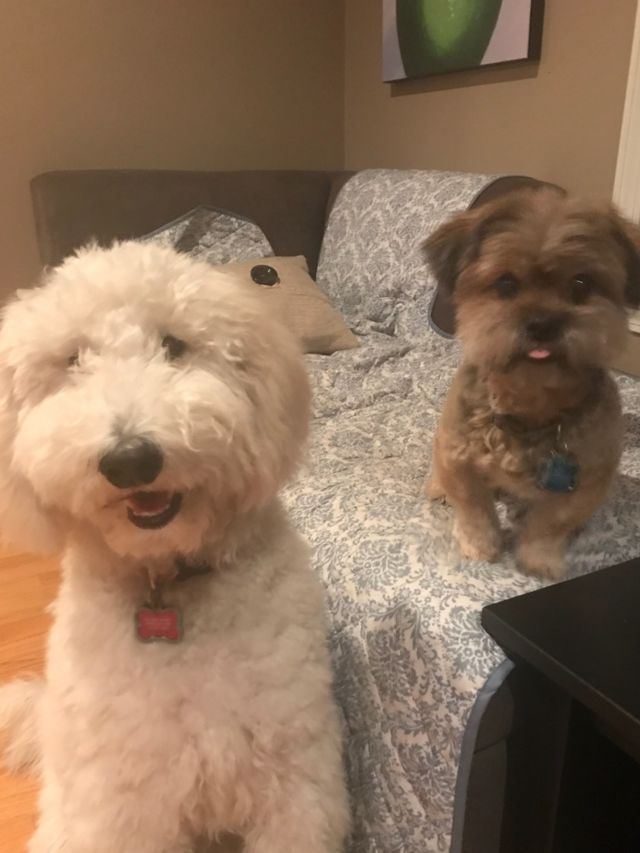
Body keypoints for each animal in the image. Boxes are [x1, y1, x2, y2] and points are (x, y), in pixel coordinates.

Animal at [0, 242, 350, 852]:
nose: (130, 459)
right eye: (72, 361)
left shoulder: (297, 786)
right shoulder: (127, 807)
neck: (166, 579)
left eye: (174, 345)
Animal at [425, 187, 640, 578]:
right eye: (506, 284)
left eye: (581, 284)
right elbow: (474, 510)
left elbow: (550, 524)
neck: (529, 402)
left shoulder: (589, 478)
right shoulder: (457, 457)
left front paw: (538, 559)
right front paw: (481, 546)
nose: (542, 323)